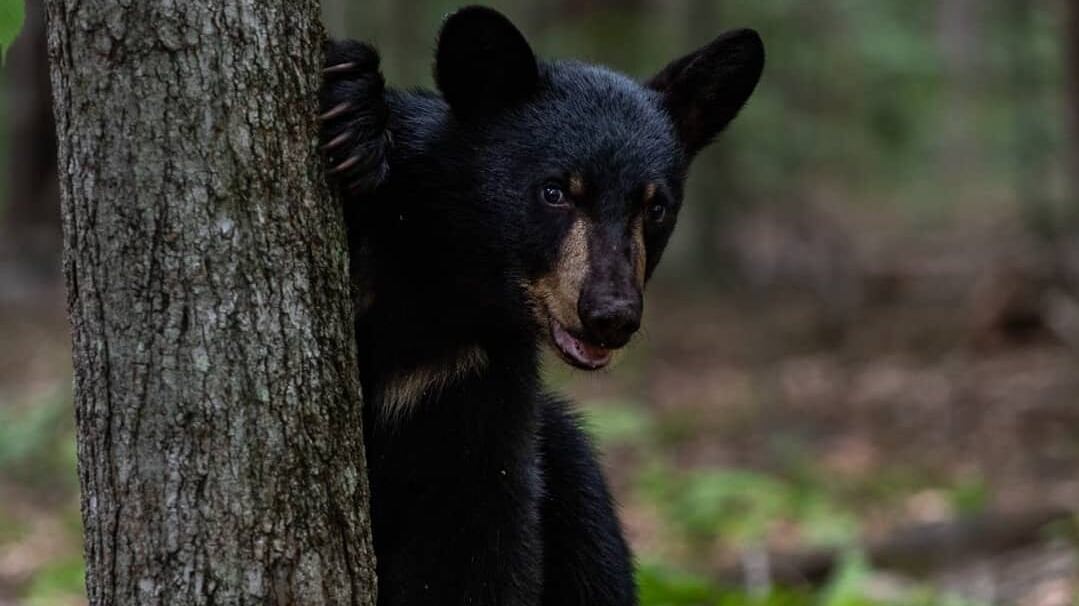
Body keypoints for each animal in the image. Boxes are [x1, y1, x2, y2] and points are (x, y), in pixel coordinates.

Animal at [319, 6, 764, 605]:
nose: (611, 315)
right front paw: (353, 109)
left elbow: (479, 542)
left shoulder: (475, 383)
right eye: (554, 191)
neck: (446, 282)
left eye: (656, 207)